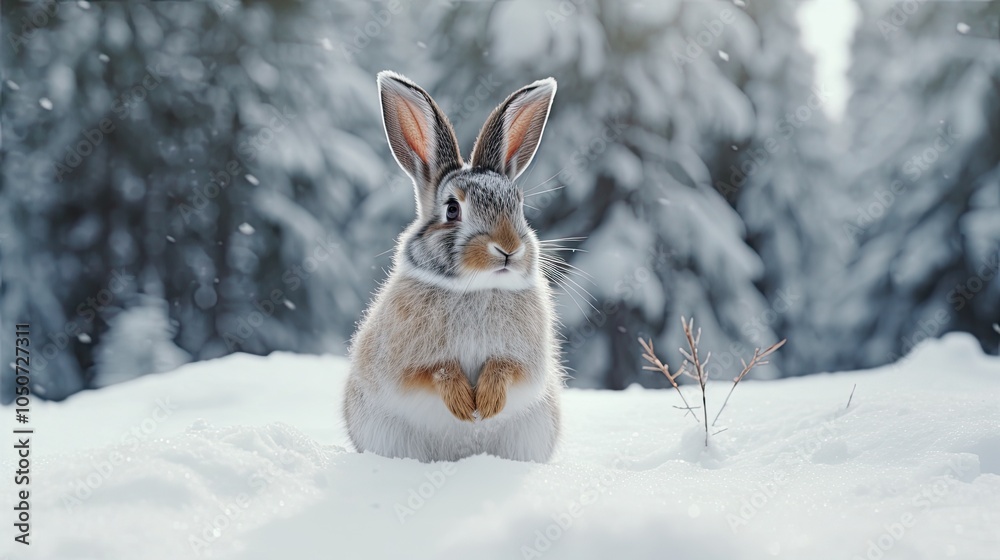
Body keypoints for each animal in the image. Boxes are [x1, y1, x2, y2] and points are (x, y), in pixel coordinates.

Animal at [343, 71, 563, 463]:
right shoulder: (404, 364)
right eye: (451, 209)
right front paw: (464, 405)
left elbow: (507, 368)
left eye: (519, 205)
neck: (476, 287)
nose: (508, 249)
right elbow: (434, 372)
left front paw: (486, 404)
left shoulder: (524, 360)